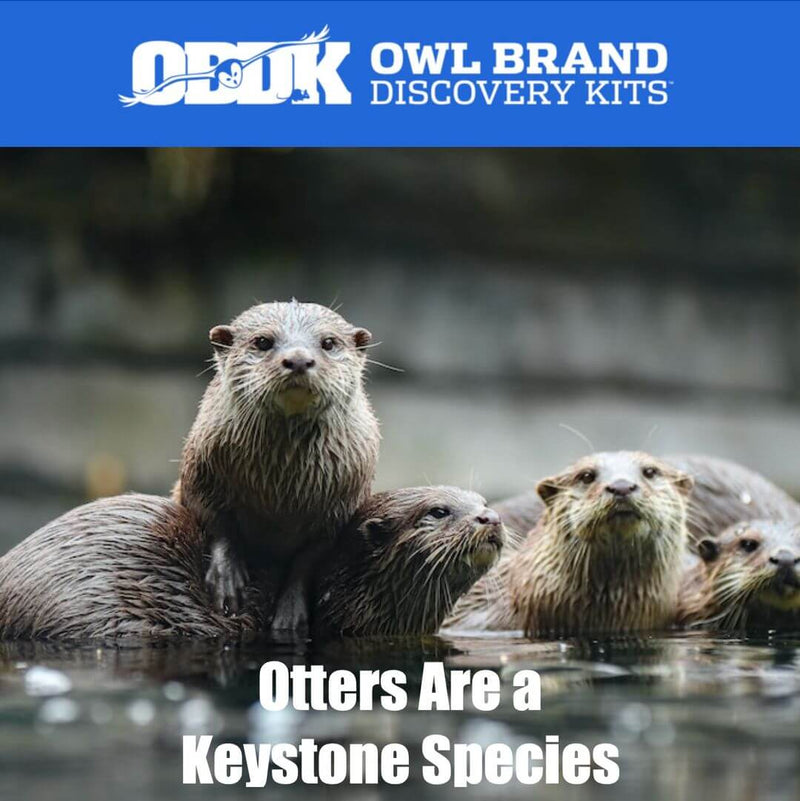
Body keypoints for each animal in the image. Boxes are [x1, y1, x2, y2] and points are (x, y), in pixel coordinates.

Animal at [173, 300, 379, 628]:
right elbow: (217, 522)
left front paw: (291, 613)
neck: (279, 496)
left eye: (328, 343)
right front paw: (226, 580)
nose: (298, 359)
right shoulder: (200, 472)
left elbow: (308, 558)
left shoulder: (341, 505)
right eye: (262, 341)